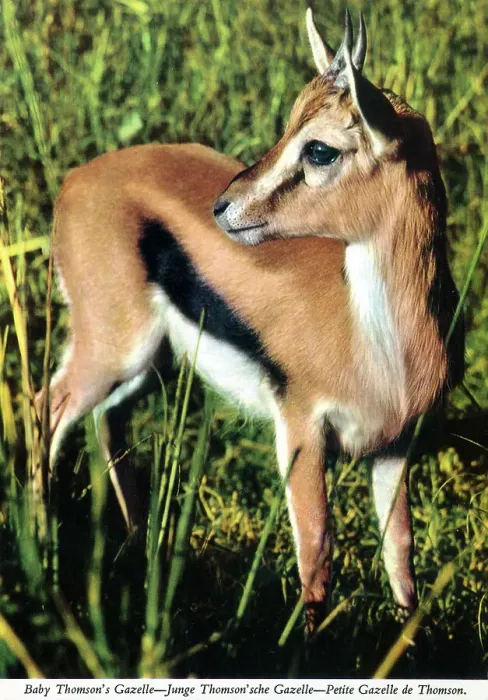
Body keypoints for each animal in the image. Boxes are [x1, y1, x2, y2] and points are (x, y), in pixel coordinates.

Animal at [37, 7, 464, 634]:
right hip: (113, 352)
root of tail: (77, 179)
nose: (222, 207)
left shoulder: (393, 445)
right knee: (47, 408)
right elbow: (317, 554)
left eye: (320, 149)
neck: (381, 343)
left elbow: (400, 555)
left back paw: (138, 544)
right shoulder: (302, 427)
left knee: (106, 424)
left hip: (150, 367)